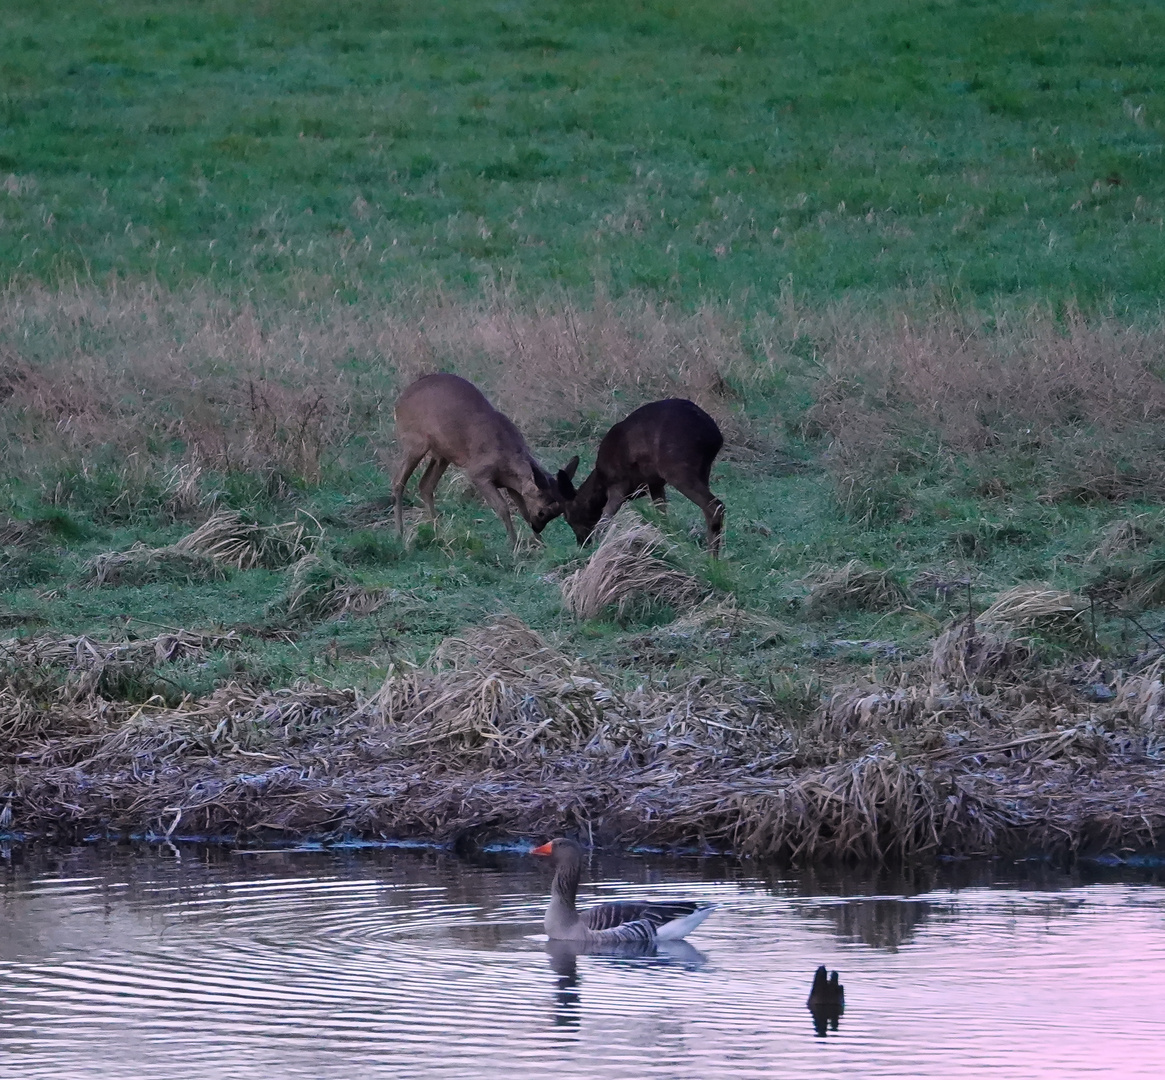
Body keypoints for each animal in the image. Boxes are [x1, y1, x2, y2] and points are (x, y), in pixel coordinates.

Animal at [393, 372, 566, 549]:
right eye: (542, 511)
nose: (537, 526)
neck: (506, 455)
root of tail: (398, 403)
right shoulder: (478, 474)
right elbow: (502, 507)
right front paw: (513, 543)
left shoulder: (511, 483)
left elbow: (523, 510)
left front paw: (540, 543)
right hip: (414, 442)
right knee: (398, 481)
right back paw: (400, 533)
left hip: (442, 454)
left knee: (425, 485)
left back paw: (437, 532)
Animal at [556, 400, 726, 561]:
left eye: (568, 517)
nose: (582, 543)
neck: (601, 481)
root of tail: (714, 436)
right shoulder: (655, 483)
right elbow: (662, 516)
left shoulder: (619, 484)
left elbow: (604, 520)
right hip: (703, 470)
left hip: (677, 466)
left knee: (715, 506)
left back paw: (712, 560)